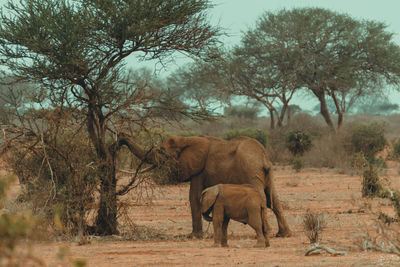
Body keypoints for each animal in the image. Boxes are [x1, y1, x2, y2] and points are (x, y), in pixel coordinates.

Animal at [119, 134, 290, 239]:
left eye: (162, 152)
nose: (121, 137)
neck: (186, 139)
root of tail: (263, 157)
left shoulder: (198, 170)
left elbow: (194, 197)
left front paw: (194, 236)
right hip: (266, 173)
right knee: (274, 200)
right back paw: (283, 234)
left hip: (251, 170)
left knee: (262, 198)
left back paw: (265, 233)